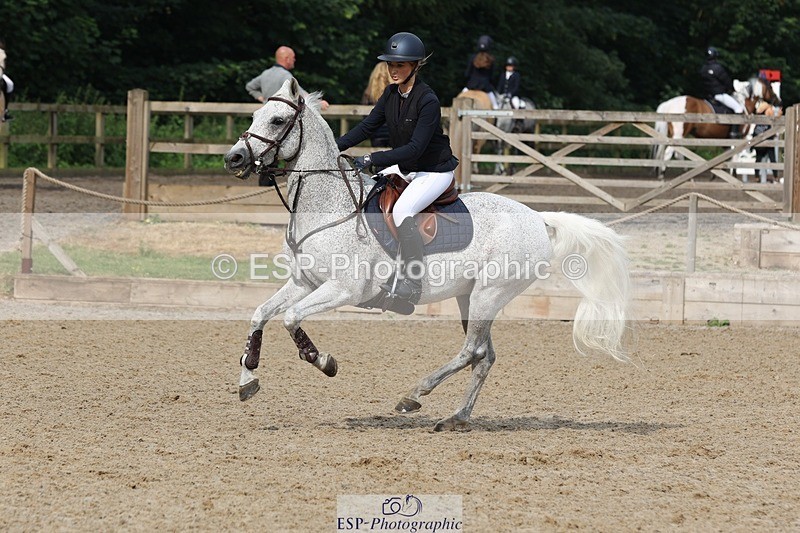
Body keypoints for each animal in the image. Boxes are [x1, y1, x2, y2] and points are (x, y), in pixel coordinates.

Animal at [223, 78, 632, 432]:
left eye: (277, 120)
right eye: (255, 115)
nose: (234, 159)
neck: (327, 205)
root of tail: (538, 218)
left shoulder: (343, 289)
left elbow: (290, 318)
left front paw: (323, 361)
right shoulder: (304, 282)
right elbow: (260, 314)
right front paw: (247, 379)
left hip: (489, 294)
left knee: (471, 351)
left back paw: (414, 395)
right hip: (471, 297)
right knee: (484, 356)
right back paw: (456, 418)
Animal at [652, 77, 780, 178]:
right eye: (770, 87)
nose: (778, 101)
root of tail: (670, 103)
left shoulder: (726, 141)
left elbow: (726, 157)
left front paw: (716, 175)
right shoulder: (740, 138)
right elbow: (735, 157)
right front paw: (732, 175)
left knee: (677, 154)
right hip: (678, 135)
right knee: (668, 154)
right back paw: (662, 176)